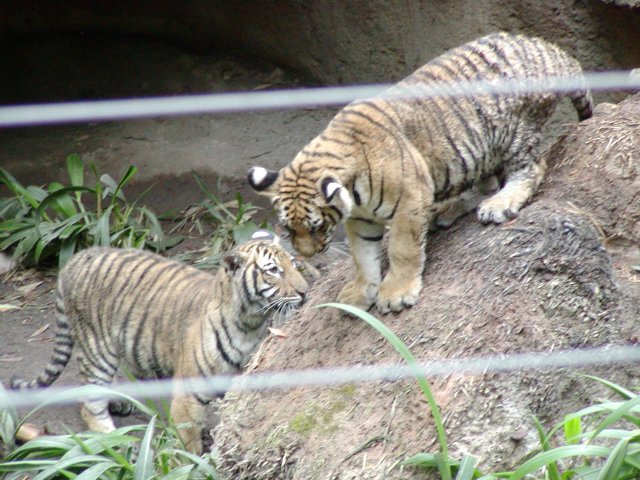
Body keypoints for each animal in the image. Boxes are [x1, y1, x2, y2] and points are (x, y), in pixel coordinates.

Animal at [10, 231, 308, 454]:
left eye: (294, 264)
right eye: (273, 270)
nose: (305, 291)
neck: (251, 324)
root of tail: (77, 257)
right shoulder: (188, 394)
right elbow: (189, 443)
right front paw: (195, 463)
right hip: (96, 349)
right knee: (90, 403)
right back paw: (111, 438)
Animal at [247, 32, 592, 314]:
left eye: (317, 227)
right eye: (288, 229)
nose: (307, 255)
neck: (353, 195)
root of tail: (548, 48)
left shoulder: (410, 200)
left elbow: (403, 249)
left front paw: (396, 294)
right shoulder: (360, 219)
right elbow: (363, 257)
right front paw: (360, 293)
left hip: (517, 132)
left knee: (532, 168)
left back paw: (500, 205)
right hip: (478, 150)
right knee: (486, 182)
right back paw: (450, 210)